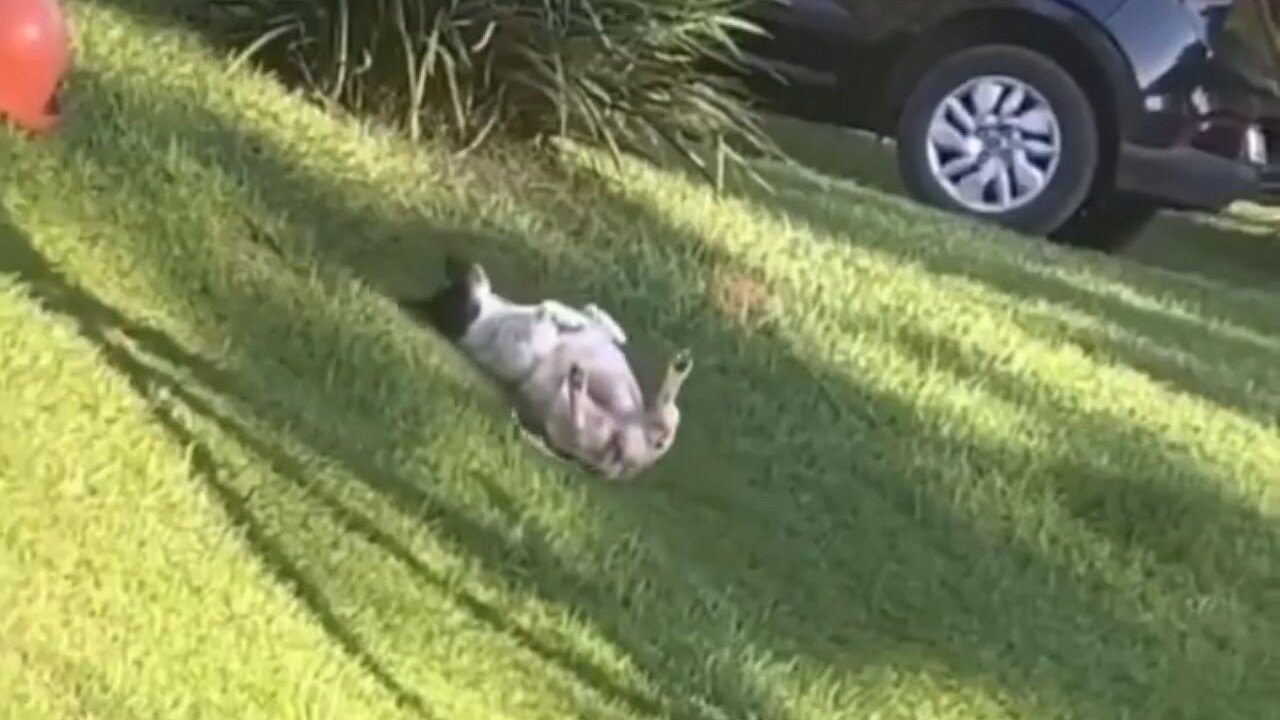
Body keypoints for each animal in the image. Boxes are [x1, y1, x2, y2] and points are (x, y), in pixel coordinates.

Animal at [407, 254, 691, 479]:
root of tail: (618, 465)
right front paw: (559, 316)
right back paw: (580, 382)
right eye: (461, 298)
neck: (487, 317)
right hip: (566, 419)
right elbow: (547, 309)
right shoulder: (520, 351)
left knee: (661, 418)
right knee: (589, 425)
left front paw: (586, 322)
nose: (468, 266)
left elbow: (592, 313)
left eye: (459, 284)